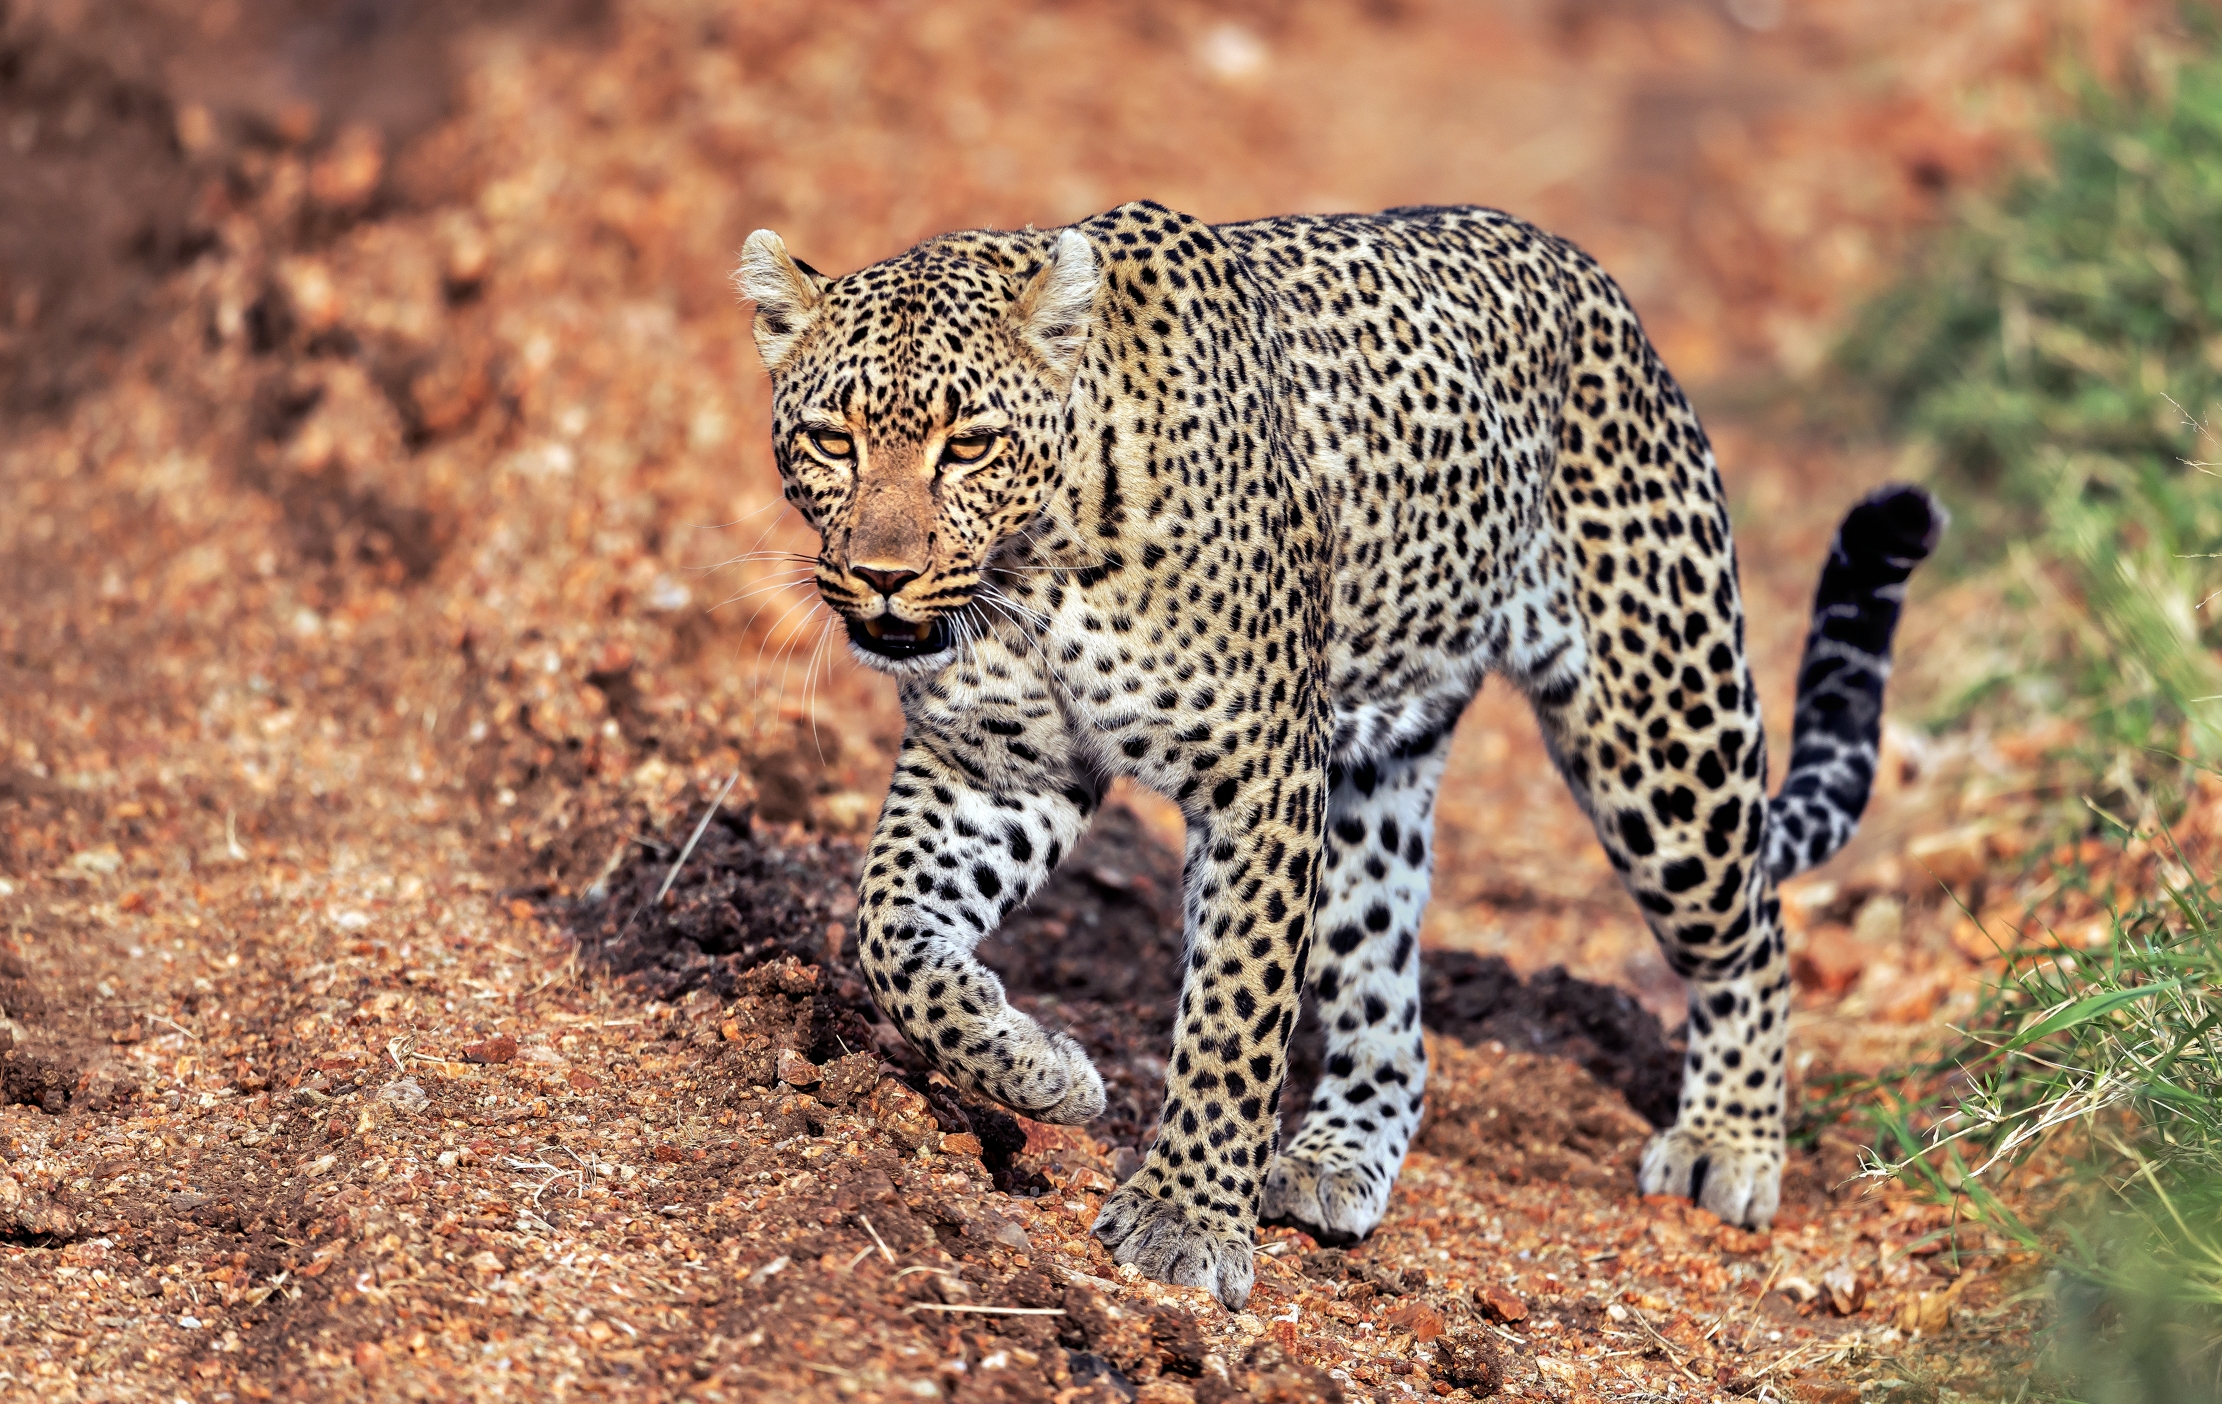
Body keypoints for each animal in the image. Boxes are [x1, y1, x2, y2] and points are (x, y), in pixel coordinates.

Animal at [734, 200, 1941, 1311]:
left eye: (970, 444)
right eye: (832, 439)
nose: (884, 576)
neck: (1035, 568)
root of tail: (1595, 283)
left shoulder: (1261, 776)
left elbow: (1234, 1011)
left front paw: (1184, 1222)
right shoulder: (994, 772)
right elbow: (888, 933)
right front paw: (1036, 1067)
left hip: (1661, 736)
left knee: (1752, 937)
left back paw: (1727, 1145)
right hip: (1376, 775)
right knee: (1389, 1014)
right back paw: (1331, 1157)